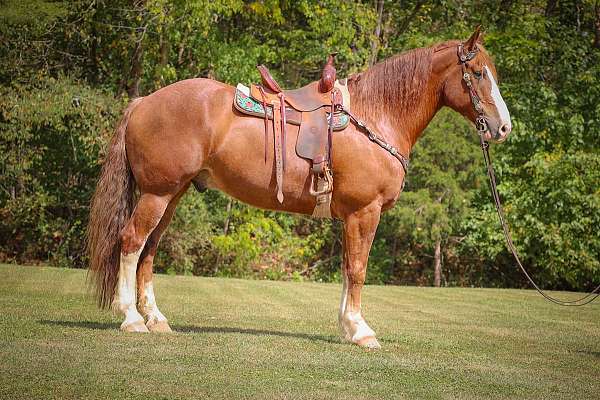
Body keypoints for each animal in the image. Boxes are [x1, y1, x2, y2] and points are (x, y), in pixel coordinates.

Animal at [88, 27, 510, 350]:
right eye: (477, 73)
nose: (504, 127)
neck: (377, 116)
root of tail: (143, 101)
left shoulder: (350, 217)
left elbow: (346, 269)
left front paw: (346, 327)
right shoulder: (364, 212)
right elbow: (358, 269)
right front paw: (361, 331)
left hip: (171, 195)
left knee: (148, 250)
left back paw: (156, 319)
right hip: (157, 194)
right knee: (131, 242)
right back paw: (131, 319)